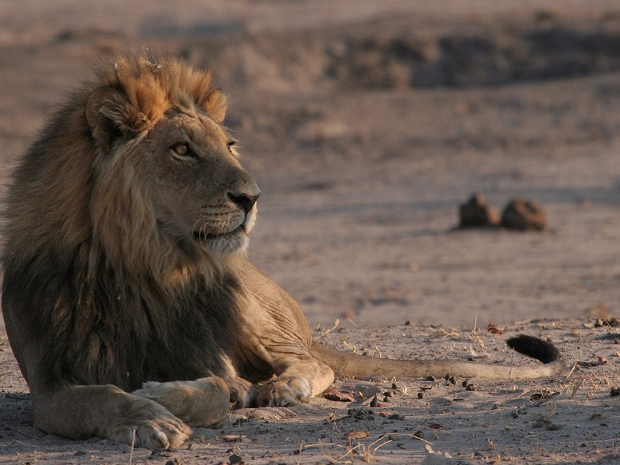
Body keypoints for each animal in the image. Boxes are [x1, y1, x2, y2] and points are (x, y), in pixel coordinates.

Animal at [0, 52, 560, 448]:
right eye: (181, 149)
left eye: (228, 145)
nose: (252, 197)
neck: (147, 268)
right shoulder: (50, 387)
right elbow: (103, 397)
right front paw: (149, 420)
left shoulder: (209, 356)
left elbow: (215, 391)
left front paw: (164, 397)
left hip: (250, 302)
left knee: (313, 362)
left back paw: (281, 387)